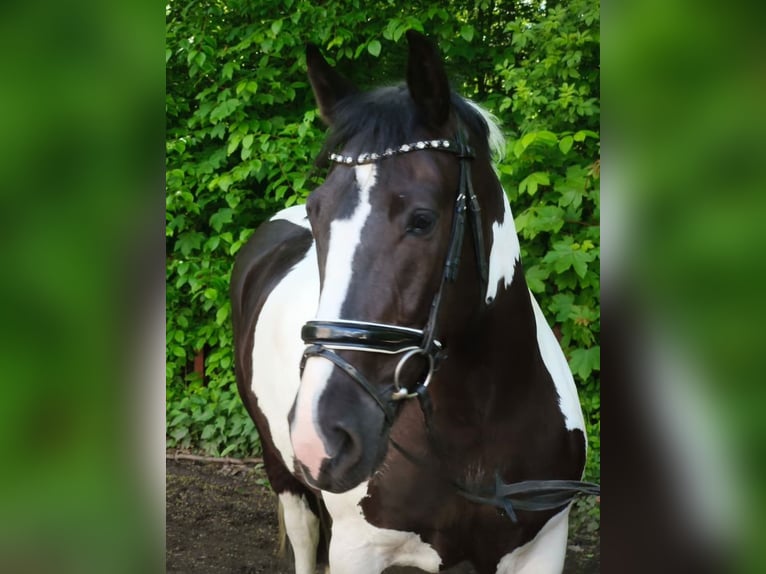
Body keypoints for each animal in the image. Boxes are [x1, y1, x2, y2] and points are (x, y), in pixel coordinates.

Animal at [230, 30, 597, 574]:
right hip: (283, 472)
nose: (324, 436)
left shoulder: (541, 546)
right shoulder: (357, 549)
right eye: (317, 214)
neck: (476, 423)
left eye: (422, 220)